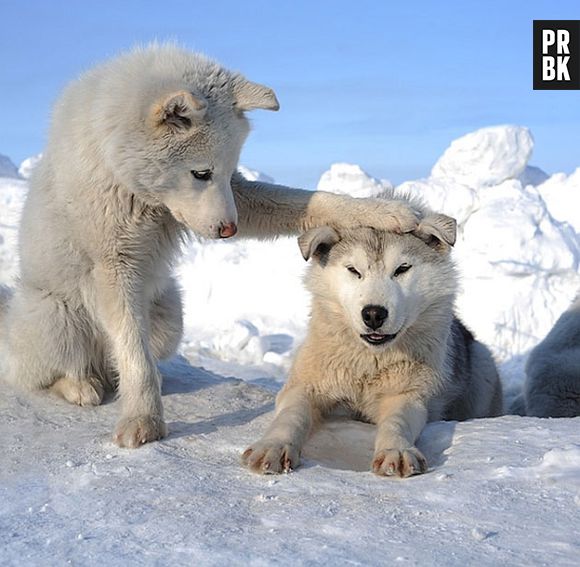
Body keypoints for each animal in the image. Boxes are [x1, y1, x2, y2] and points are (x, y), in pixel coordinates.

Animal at [0, 44, 416, 448]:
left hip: (169, 317)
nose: (229, 229)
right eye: (201, 173)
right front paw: (143, 420)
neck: (126, 176)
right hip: (58, 317)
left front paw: (384, 211)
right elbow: (133, 354)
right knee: (52, 372)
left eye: (229, 173)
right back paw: (80, 386)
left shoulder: (238, 200)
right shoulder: (113, 265)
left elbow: (313, 201)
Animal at [242, 213, 500, 480]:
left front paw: (396, 451)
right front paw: (273, 446)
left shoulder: (408, 395)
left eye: (402, 269)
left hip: (483, 366)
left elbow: (397, 422)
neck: (369, 363)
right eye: (354, 270)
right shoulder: (304, 386)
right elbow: (290, 416)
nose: (374, 314)